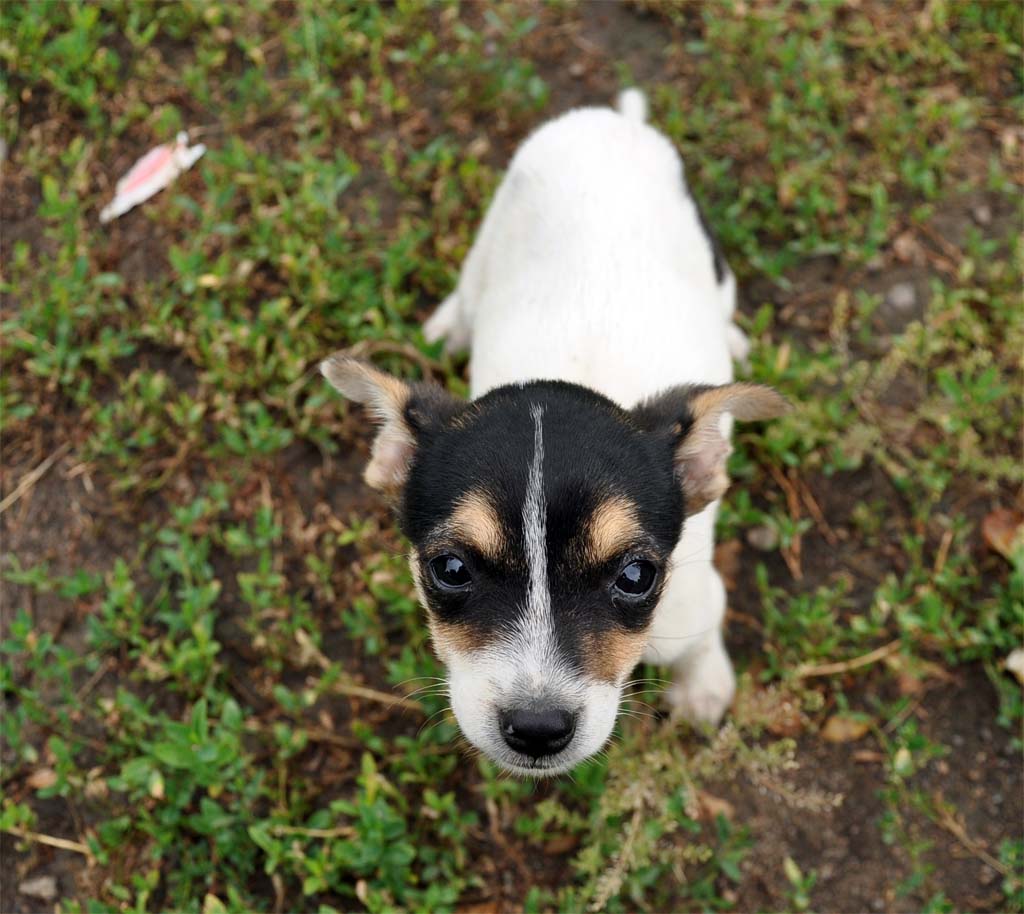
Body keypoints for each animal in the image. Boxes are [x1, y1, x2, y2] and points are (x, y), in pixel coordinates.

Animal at [321, 90, 787, 776]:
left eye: (636, 577)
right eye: (450, 569)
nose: (538, 729)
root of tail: (611, 121)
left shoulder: (695, 599)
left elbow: (699, 641)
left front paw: (703, 687)